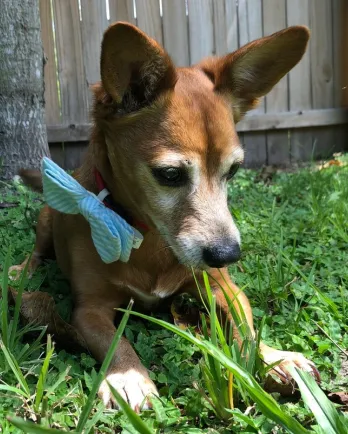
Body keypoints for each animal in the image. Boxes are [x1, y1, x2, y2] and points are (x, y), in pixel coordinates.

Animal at [11, 22, 320, 410]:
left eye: (234, 170)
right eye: (170, 174)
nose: (228, 255)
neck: (149, 237)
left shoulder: (224, 288)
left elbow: (246, 328)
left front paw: (273, 356)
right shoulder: (88, 309)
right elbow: (114, 341)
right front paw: (128, 375)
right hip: (47, 217)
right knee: (38, 250)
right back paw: (24, 269)